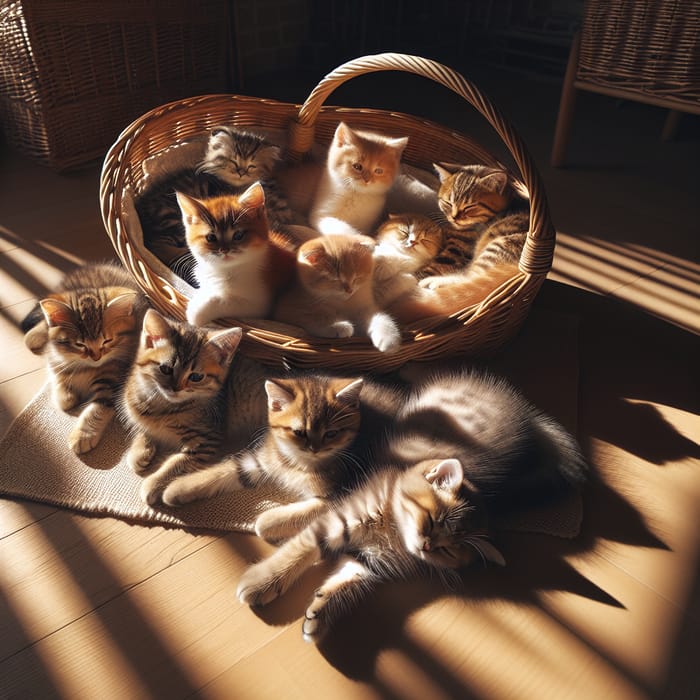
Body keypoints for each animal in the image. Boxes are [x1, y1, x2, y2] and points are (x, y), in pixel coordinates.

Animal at [20, 262, 149, 454]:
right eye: (80, 344)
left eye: (107, 341)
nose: (96, 357)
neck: (85, 366)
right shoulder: (54, 356)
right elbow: (57, 378)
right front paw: (65, 395)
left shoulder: (113, 378)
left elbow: (97, 409)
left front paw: (82, 435)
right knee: (45, 322)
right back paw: (33, 336)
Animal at [123, 308, 246, 506]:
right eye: (165, 369)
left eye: (196, 377)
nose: (175, 388)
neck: (164, 407)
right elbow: (142, 427)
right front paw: (140, 451)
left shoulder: (207, 440)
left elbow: (177, 462)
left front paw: (153, 484)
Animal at [178, 179, 296, 324]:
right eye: (211, 237)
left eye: (238, 235)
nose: (225, 250)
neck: (227, 270)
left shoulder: (260, 304)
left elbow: (228, 300)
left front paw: (197, 310)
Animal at [234, 370, 584, 644]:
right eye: (431, 521)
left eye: (448, 550)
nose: (427, 545)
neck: (392, 533)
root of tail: (526, 412)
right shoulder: (341, 513)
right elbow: (298, 549)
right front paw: (261, 580)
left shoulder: (368, 560)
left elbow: (344, 581)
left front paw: (319, 616)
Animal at [274, 234, 402, 356]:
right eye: (335, 279)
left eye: (356, 277)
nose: (349, 290)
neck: (342, 303)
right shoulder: (288, 308)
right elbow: (315, 317)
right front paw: (338, 326)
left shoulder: (365, 308)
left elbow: (381, 319)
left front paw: (388, 340)